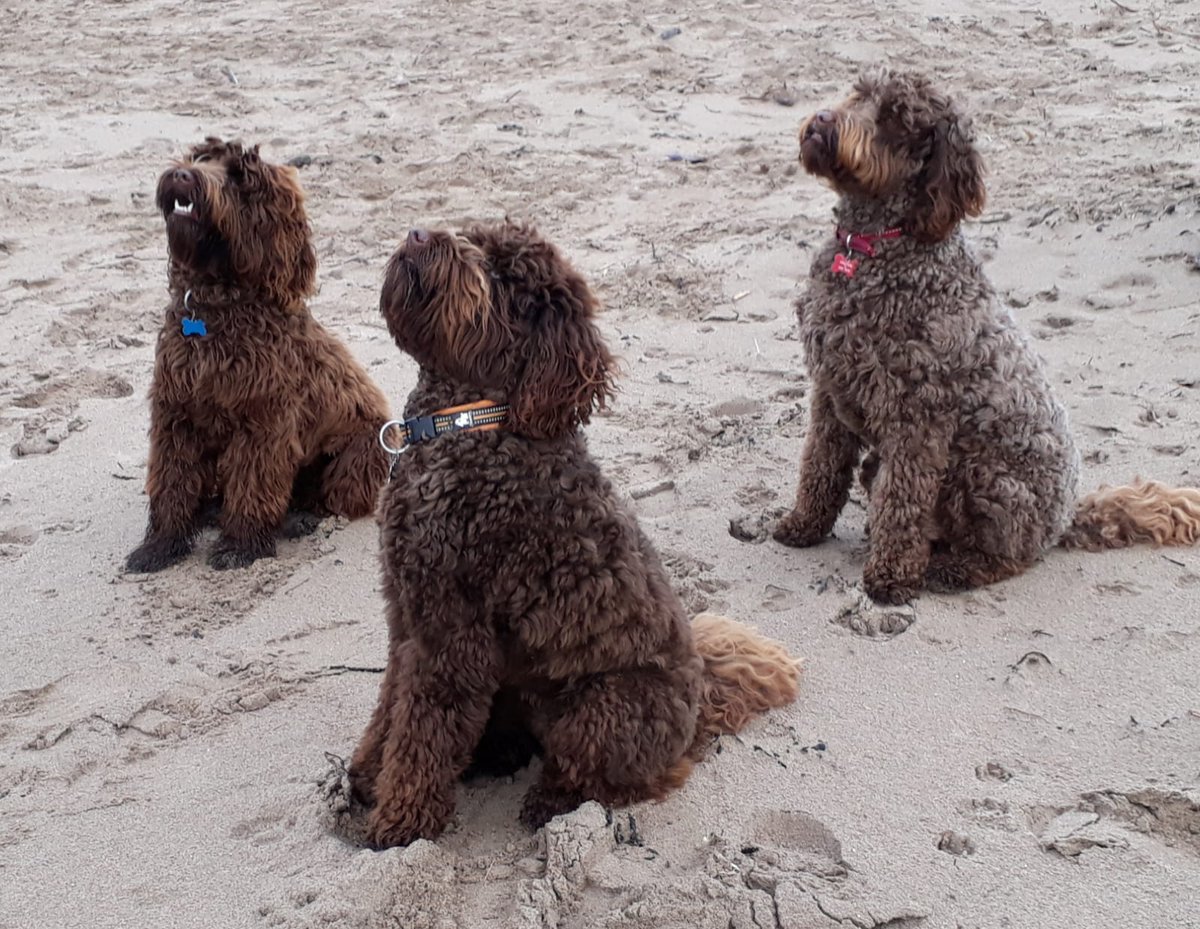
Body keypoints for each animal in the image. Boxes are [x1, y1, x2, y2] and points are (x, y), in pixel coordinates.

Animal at [126, 139, 388, 573]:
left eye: (238, 178)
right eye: (201, 158)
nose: (182, 174)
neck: (216, 307)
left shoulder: (262, 422)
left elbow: (253, 485)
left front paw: (240, 545)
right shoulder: (175, 414)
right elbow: (171, 484)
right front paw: (161, 545)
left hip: (360, 455)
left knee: (330, 497)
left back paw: (300, 518)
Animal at [345, 223, 796, 849]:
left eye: (503, 277)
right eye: (471, 235)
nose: (418, 233)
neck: (470, 422)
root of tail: (700, 695)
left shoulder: (450, 634)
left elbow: (423, 728)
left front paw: (399, 822)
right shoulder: (406, 614)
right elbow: (389, 704)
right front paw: (367, 775)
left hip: (600, 711)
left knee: (629, 778)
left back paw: (551, 802)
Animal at [772, 72, 1195, 607]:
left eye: (895, 119)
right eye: (859, 93)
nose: (825, 119)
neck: (873, 248)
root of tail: (1065, 519)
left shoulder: (918, 416)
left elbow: (903, 501)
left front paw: (891, 577)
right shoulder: (829, 391)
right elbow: (820, 466)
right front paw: (803, 525)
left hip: (986, 478)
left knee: (1003, 556)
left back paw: (951, 569)